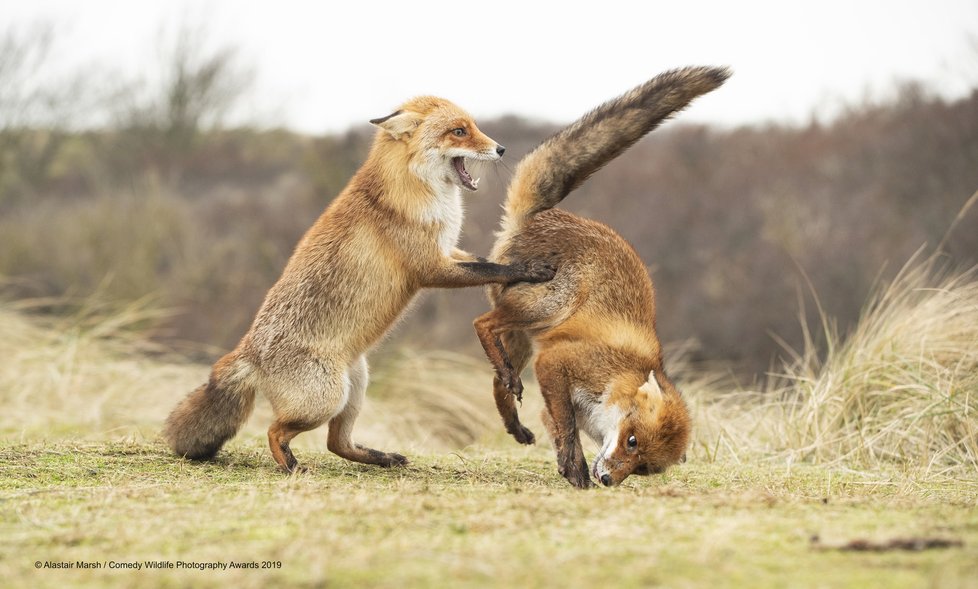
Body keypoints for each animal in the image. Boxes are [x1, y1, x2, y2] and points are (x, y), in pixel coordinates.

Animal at [163, 96, 552, 474]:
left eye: (473, 126)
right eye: (459, 131)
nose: (500, 148)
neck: (417, 191)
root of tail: (247, 352)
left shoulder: (447, 251)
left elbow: (484, 261)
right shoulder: (430, 267)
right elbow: (491, 269)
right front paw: (529, 269)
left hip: (356, 385)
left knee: (336, 443)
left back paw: (383, 459)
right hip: (325, 399)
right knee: (275, 431)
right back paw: (291, 466)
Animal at [472, 65, 732, 486]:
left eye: (642, 468)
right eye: (631, 441)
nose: (609, 480)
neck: (620, 376)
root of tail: (541, 216)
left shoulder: (553, 389)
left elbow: (556, 427)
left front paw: (568, 467)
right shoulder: (556, 363)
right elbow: (566, 427)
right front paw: (577, 470)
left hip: (524, 339)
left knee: (498, 380)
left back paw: (514, 422)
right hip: (547, 307)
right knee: (482, 324)